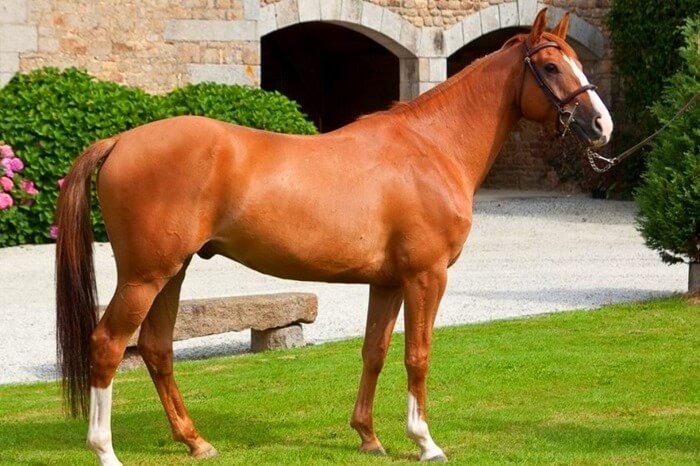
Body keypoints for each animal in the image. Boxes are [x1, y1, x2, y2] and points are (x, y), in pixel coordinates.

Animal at [55, 9, 612, 464]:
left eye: (578, 64)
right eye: (551, 68)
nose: (602, 125)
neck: (431, 147)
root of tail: (120, 140)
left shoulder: (388, 282)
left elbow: (375, 351)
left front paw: (368, 436)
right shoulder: (425, 276)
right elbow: (418, 354)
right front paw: (425, 442)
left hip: (172, 272)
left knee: (156, 349)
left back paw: (196, 442)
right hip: (145, 276)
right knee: (107, 345)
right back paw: (105, 451)